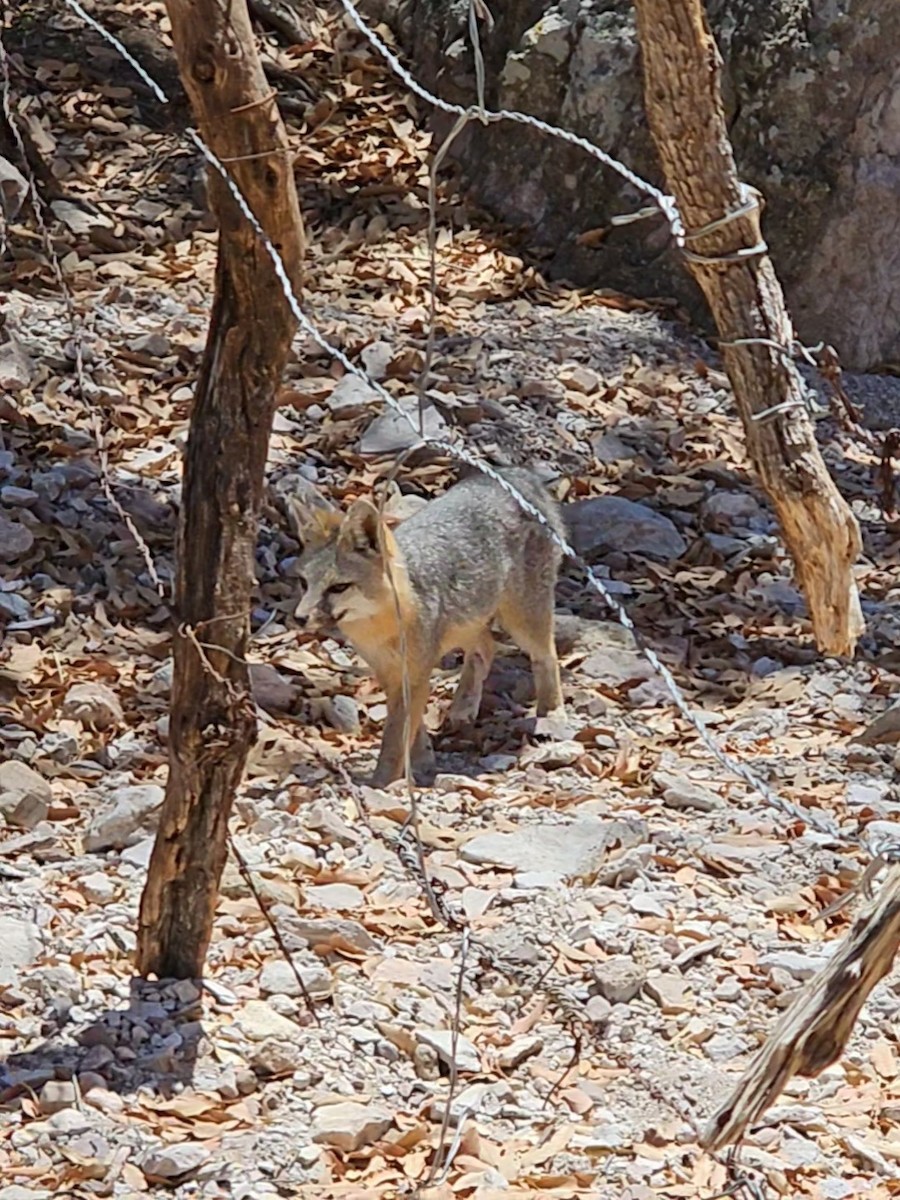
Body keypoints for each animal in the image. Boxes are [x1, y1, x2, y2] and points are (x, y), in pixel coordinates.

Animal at [289, 468, 566, 786]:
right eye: (304, 583)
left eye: (338, 587)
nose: (299, 617)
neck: (382, 628)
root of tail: (516, 474)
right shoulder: (390, 673)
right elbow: (412, 727)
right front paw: (421, 760)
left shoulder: (413, 675)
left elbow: (395, 738)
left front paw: (382, 782)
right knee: (486, 647)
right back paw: (463, 707)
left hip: (522, 621)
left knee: (546, 656)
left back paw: (552, 713)